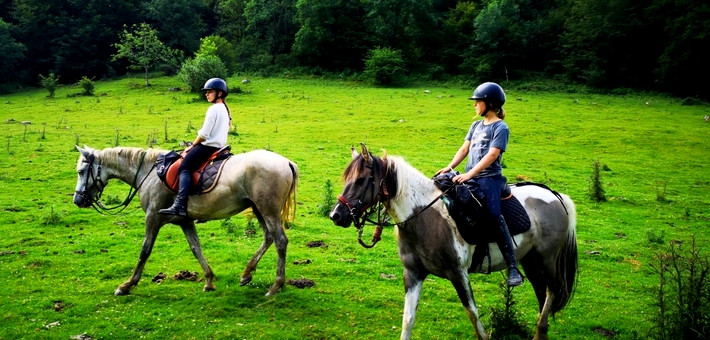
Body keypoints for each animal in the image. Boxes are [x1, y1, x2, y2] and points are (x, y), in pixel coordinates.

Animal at [75, 146, 300, 298]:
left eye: (80, 171)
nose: (77, 200)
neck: (149, 173)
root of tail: (286, 162)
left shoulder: (153, 217)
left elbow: (145, 251)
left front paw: (127, 285)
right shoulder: (185, 221)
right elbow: (195, 248)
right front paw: (209, 281)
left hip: (267, 210)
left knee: (280, 241)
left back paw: (276, 285)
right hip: (258, 209)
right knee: (269, 237)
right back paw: (246, 274)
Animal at [330, 144, 580, 340]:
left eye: (361, 180)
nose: (336, 215)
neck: (425, 217)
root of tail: (555, 196)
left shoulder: (459, 273)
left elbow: (473, 315)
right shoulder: (413, 274)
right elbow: (408, 319)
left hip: (546, 260)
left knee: (552, 291)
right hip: (530, 261)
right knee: (542, 293)